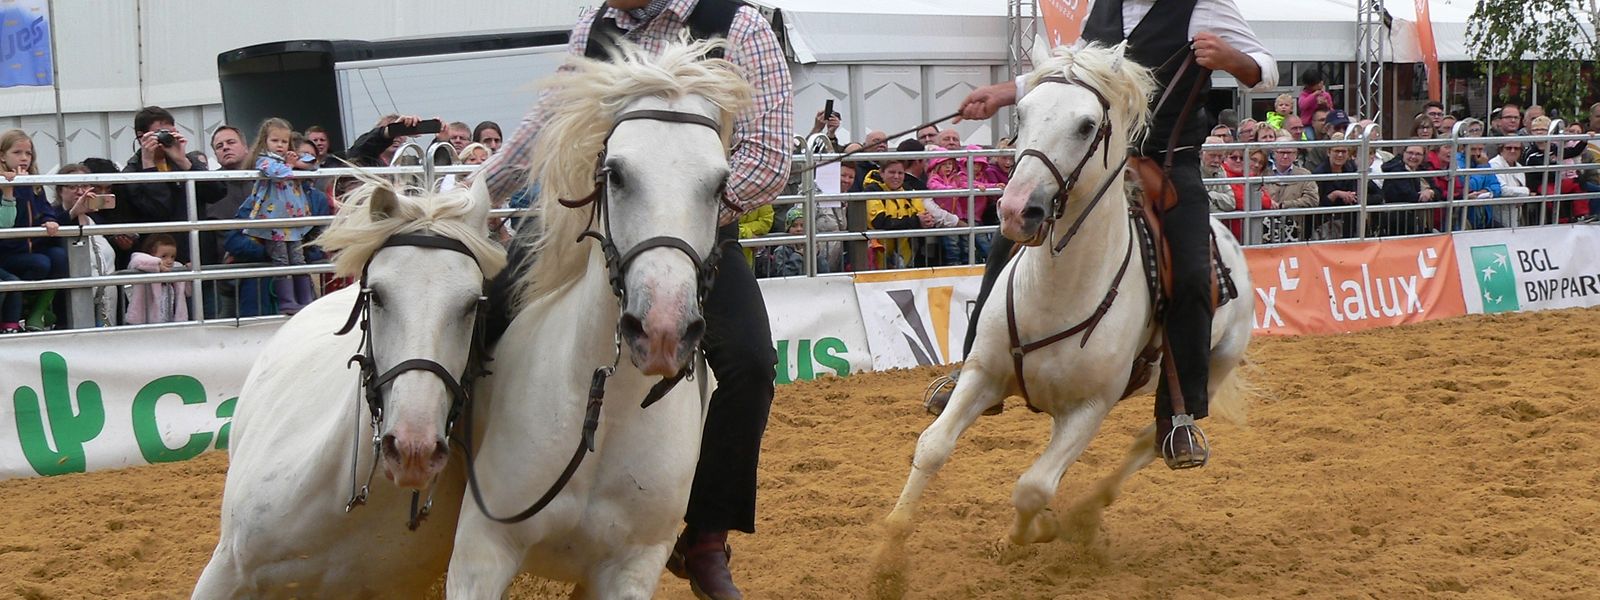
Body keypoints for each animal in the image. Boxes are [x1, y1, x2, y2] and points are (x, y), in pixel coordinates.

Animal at [444, 38, 754, 599]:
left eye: (720, 185)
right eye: (616, 173)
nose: (661, 331)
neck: (606, 413)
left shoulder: (630, 567)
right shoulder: (482, 550)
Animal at [876, 43, 1255, 592]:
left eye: (1085, 125)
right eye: (1021, 113)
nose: (1017, 210)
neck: (1058, 291)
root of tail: (1229, 241)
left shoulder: (1089, 409)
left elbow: (1033, 487)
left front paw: (1026, 536)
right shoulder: (983, 375)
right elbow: (932, 447)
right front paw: (888, 557)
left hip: (1210, 369)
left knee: (1150, 440)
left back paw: (1087, 513)